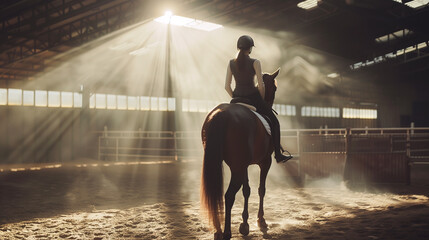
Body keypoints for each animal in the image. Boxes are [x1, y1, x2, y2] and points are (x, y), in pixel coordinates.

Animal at [200, 68, 278, 239]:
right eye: (275, 88)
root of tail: (221, 113)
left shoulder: (244, 165)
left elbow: (246, 190)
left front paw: (245, 224)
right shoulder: (265, 162)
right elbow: (261, 189)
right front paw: (261, 220)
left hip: (224, 164)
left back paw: (218, 230)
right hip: (237, 168)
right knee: (229, 195)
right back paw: (226, 232)